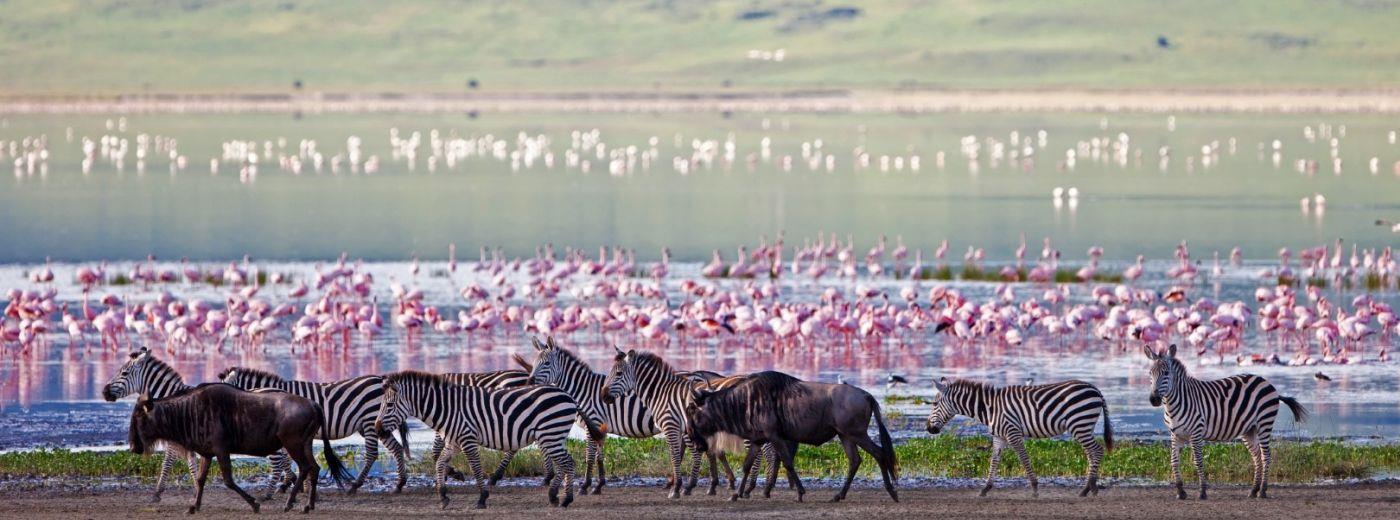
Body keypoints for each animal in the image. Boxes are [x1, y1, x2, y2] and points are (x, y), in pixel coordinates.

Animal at [215, 370, 408, 496]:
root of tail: (380, 378)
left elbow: (284, 459)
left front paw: (291, 482)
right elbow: (287, 459)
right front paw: (293, 482)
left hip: (370, 421)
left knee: (372, 453)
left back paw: (355, 485)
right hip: (376, 424)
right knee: (396, 449)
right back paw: (400, 483)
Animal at [372, 370, 590, 510]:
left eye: (389, 405)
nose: (377, 430)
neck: (448, 408)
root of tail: (568, 395)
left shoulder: (467, 438)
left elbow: (476, 467)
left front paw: (482, 498)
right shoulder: (453, 441)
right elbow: (440, 463)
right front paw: (443, 496)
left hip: (550, 434)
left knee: (568, 462)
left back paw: (566, 499)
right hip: (554, 436)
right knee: (564, 463)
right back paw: (554, 496)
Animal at [929, 375, 1114, 498]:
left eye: (934, 404)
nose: (929, 429)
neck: (990, 408)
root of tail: (1095, 389)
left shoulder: (1013, 433)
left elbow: (1024, 458)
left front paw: (1034, 488)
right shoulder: (999, 437)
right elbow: (994, 460)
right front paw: (985, 488)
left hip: (1079, 423)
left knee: (1097, 450)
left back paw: (1088, 488)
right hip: (1083, 426)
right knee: (1091, 453)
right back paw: (1089, 488)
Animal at [1142, 346, 1304, 501]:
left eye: (1166, 373)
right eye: (1150, 373)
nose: (1154, 399)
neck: (1174, 404)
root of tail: (1265, 381)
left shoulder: (1196, 433)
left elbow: (1198, 461)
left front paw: (1202, 492)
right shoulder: (1175, 435)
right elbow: (1174, 462)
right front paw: (1181, 492)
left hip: (1265, 423)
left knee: (1266, 456)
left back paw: (1263, 491)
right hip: (1249, 430)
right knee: (1257, 456)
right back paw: (1253, 490)